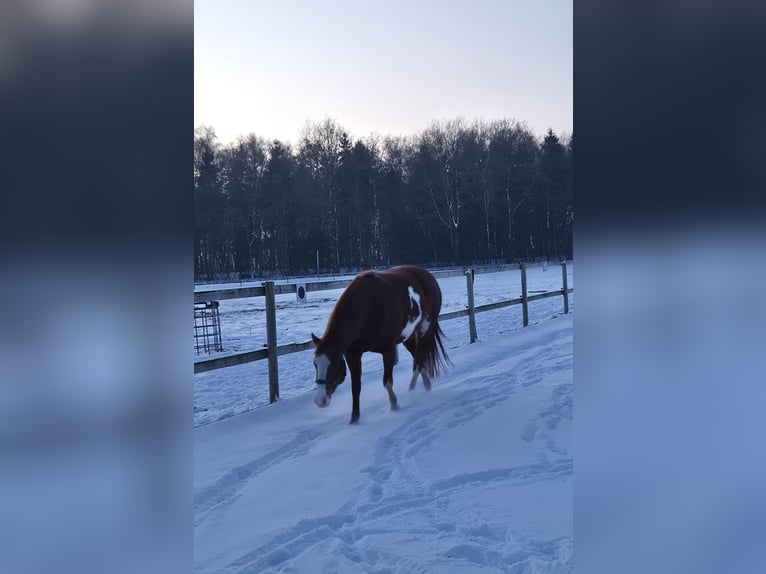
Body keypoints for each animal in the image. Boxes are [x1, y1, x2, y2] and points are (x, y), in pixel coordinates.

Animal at [311, 265, 451, 424]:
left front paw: (394, 405)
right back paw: (422, 386)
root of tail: (427, 275)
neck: (368, 306)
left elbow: (387, 381)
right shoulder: (353, 354)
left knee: (419, 360)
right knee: (417, 357)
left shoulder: (388, 350)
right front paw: (354, 418)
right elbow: (356, 387)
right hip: (407, 336)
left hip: (425, 330)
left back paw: (416, 390)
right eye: (315, 364)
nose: (320, 400)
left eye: (333, 365)